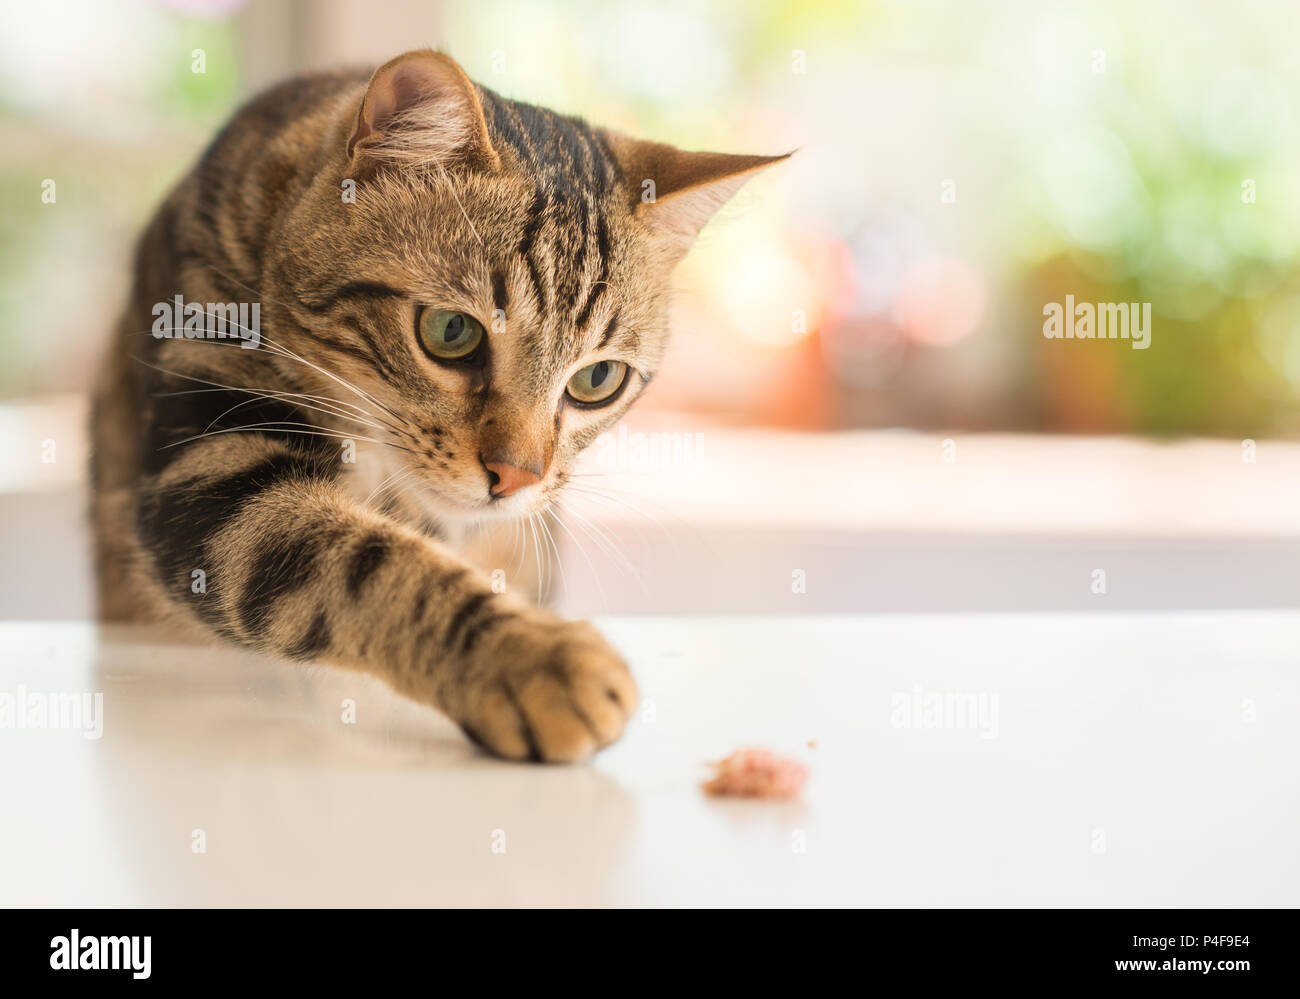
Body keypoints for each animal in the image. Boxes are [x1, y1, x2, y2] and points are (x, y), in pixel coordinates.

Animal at [91, 50, 785, 759]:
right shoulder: (212, 457)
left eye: (598, 379)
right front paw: (531, 655)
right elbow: (365, 564)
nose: (516, 477)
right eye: (452, 332)